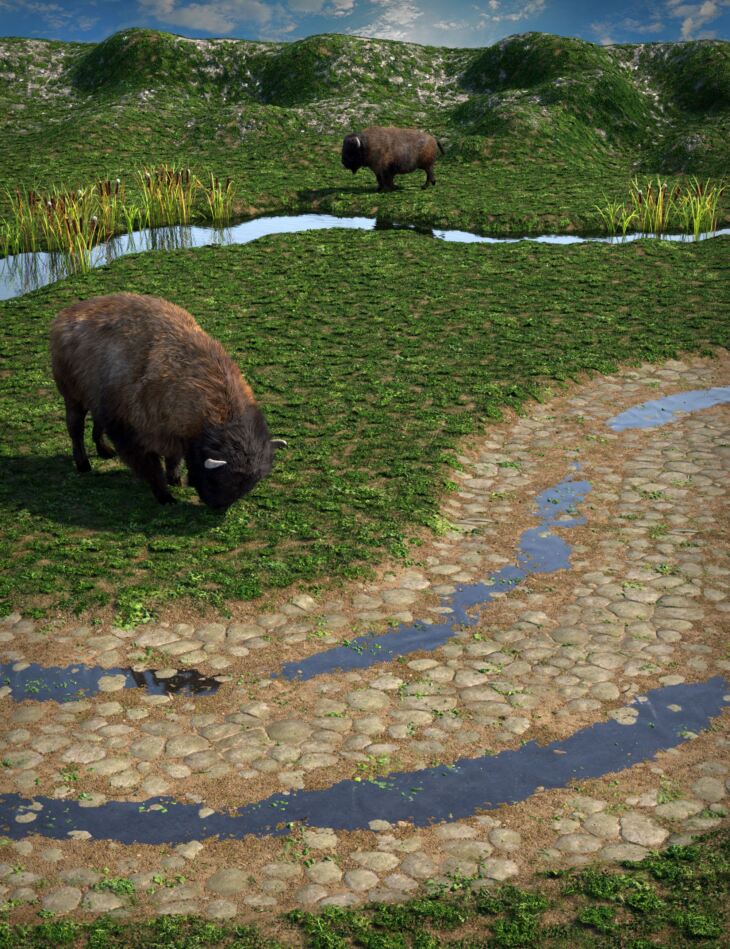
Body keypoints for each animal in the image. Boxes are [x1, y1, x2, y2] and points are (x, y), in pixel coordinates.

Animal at [50, 290, 284, 508]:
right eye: (219, 480)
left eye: (247, 484)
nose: (217, 507)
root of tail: (65, 315)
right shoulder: (132, 436)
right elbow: (152, 469)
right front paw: (165, 496)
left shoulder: (173, 435)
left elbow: (173, 458)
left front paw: (175, 478)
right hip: (73, 398)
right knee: (75, 429)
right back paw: (83, 464)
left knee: (97, 423)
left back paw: (104, 450)